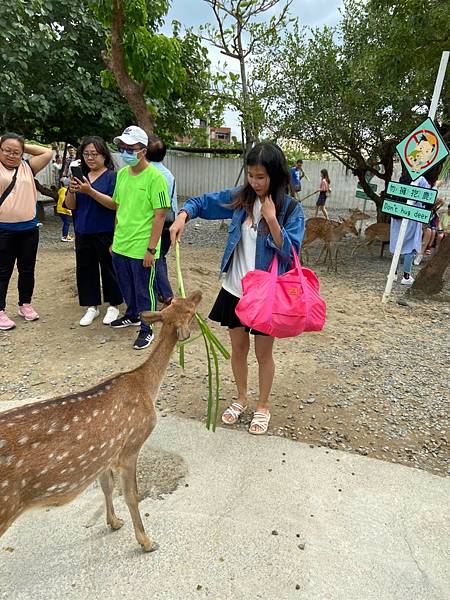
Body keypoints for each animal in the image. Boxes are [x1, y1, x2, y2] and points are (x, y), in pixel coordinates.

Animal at [0, 292, 201, 552]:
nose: (198, 294)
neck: (145, 385)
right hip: (5, 504)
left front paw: (114, 522)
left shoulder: (105, 453)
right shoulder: (131, 445)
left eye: (177, 300)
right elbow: (131, 494)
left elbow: (107, 486)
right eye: (189, 310)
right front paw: (146, 542)